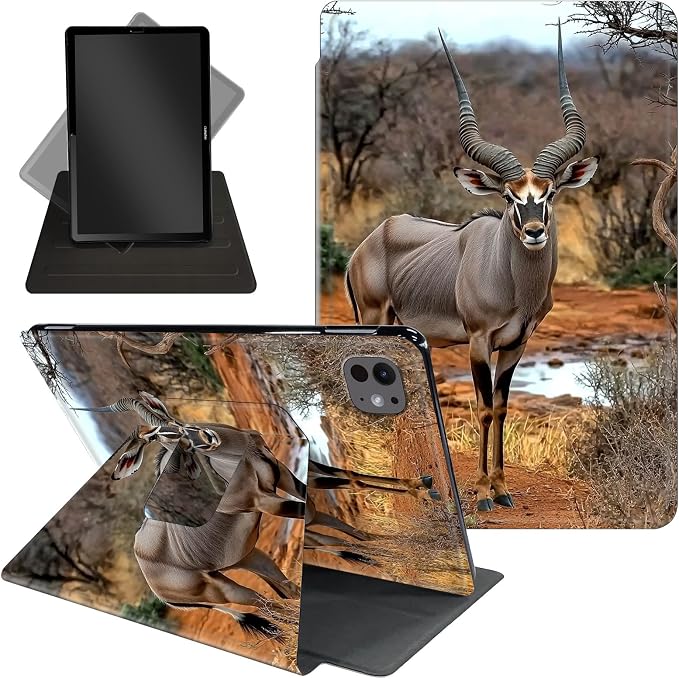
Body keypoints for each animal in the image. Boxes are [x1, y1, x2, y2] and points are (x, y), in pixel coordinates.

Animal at [345, 23, 598, 512]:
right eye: (510, 196)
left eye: (550, 192)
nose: (535, 232)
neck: (514, 283)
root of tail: (371, 240)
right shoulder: (479, 342)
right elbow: (481, 407)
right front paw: (481, 492)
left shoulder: (516, 344)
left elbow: (500, 406)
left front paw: (501, 489)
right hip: (372, 318)